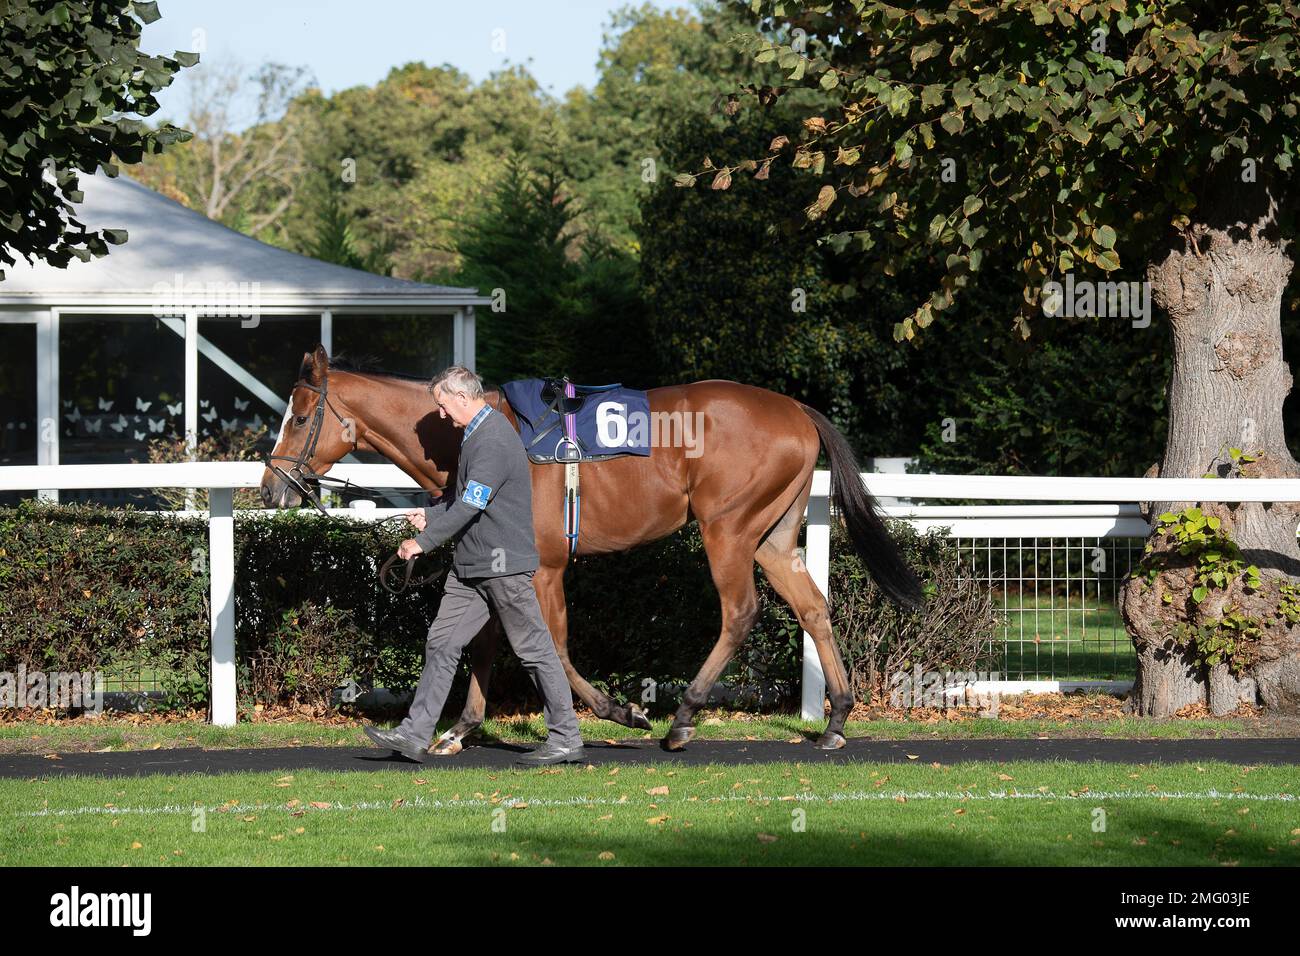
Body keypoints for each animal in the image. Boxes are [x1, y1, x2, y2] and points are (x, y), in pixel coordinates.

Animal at [260, 345, 924, 753]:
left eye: (300, 418)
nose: (270, 487)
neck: (475, 436)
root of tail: (798, 411)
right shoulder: (500, 561)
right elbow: (484, 641)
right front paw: (460, 728)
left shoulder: (546, 568)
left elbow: (547, 645)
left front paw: (618, 710)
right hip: (773, 537)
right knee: (813, 607)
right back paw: (836, 718)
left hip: (729, 530)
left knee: (740, 612)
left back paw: (683, 717)